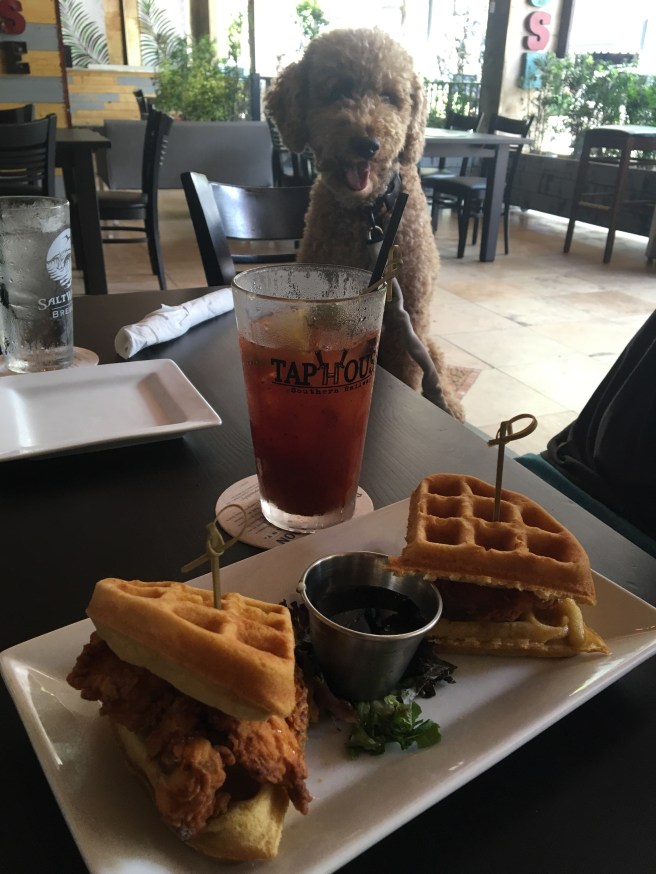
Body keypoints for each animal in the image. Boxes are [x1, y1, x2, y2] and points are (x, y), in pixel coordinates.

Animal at [265, 27, 463, 420]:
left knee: (436, 371)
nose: (367, 143)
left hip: (425, 340)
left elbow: (409, 372)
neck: (369, 214)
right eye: (337, 91)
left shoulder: (410, 315)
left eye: (389, 97)